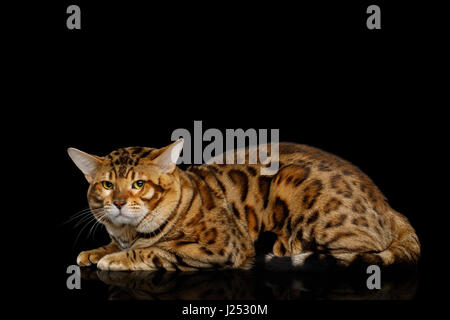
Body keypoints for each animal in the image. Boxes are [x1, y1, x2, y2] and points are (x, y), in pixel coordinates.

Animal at [68, 140, 420, 270]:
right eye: (107, 185)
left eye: (139, 184)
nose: (118, 202)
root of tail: (391, 209)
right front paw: (96, 251)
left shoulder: (222, 247)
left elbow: (157, 250)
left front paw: (115, 258)